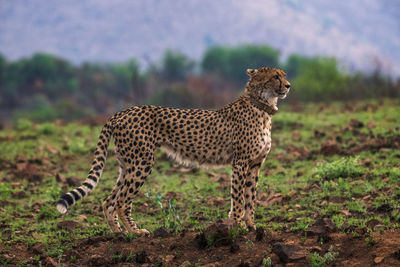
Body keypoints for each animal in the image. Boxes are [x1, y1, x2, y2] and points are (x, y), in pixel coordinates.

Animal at [57, 66, 290, 234]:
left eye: (284, 75)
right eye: (275, 77)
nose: (288, 86)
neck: (262, 106)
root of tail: (121, 112)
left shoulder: (255, 164)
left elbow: (251, 196)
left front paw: (251, 226)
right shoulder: (240, 163)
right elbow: (239, 197)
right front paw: (238, 226)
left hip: (126, 165)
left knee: (109, 201)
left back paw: (118, 233)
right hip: (142, 162)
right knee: (122, 201)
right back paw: (135, 232)